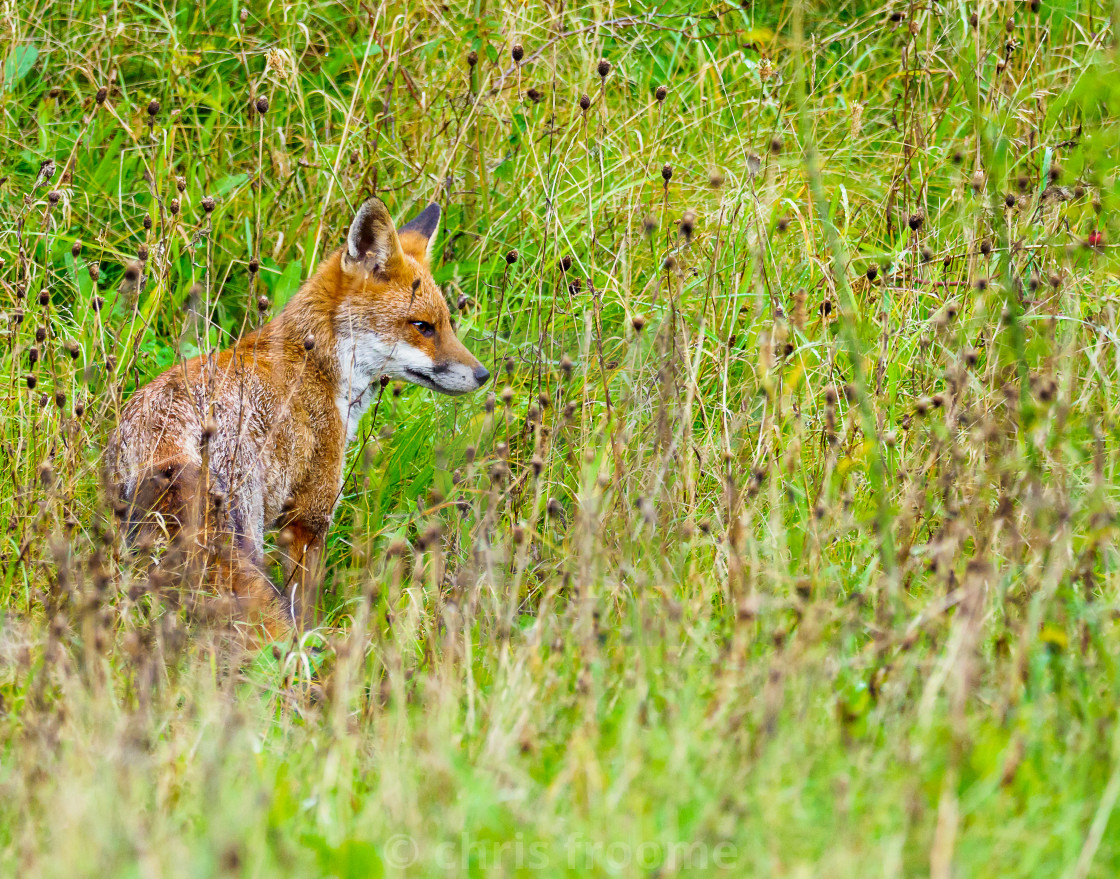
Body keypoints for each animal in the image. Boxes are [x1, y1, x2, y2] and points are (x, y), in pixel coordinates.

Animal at [108, 197, 490, 636]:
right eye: (422, 327)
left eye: (446, 325)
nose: (483, 375)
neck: (320, 365)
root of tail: (163, 436)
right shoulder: (310, 515)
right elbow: (304, 606)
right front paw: (311, 639)